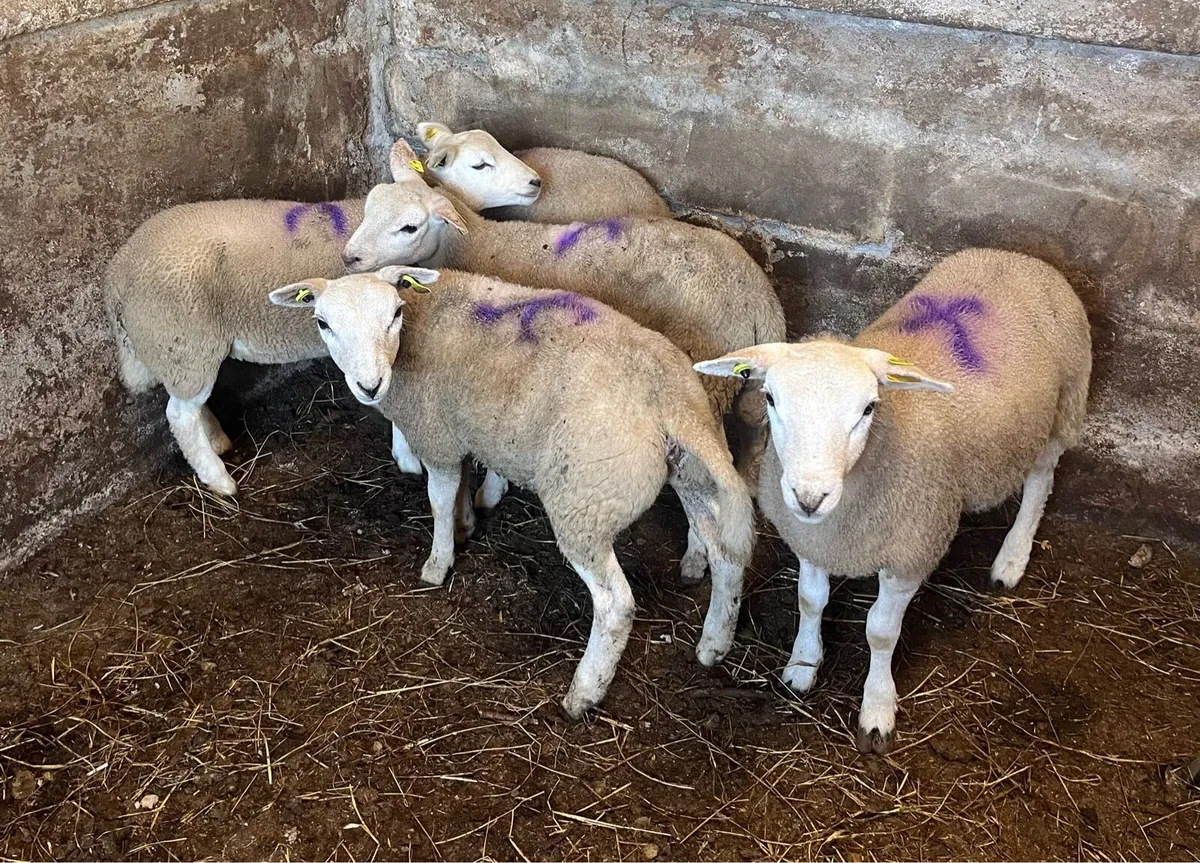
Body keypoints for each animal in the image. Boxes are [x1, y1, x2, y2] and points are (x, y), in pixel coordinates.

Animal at [102, 143, 468, 495]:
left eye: (410, 227)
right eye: (369, 211)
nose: (350, 257)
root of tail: (117, 273)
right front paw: (407, 459)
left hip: (180, 350)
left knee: (186, 402)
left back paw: (217, 440)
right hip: (184, 340)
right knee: (179, 414)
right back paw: (219, 480)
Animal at [268, 266, 756, 718]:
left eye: (395, 314)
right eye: (323, 323)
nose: (369, 386)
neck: (419, 324)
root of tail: (670, 399)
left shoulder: (436, 436)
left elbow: (440, 500)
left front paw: (438, 563)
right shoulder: (464, 426)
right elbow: (465, 484)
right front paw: (468, 523)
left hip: (585, 500)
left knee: (616, 605)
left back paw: (583, 693)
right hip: (689, 474)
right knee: (726, 556)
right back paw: (714, 643)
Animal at [340, 172, 787, 496]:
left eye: (409, 227)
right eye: (369, 207)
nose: (350, 257)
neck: (480, 245)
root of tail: (761, 297)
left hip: (707, 375)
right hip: (744, 383)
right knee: (755, 430)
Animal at [694, 249, 1091, 754]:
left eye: (868, 408)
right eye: (770, 398)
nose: (809, 497)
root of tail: (1020, 257)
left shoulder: (910, 550)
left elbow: (881, 633)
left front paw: (877, 708)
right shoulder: (814, 541)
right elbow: (809, 601)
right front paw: (802, 666)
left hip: (1062, 405)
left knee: (1040, 480)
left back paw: (1012, 558)